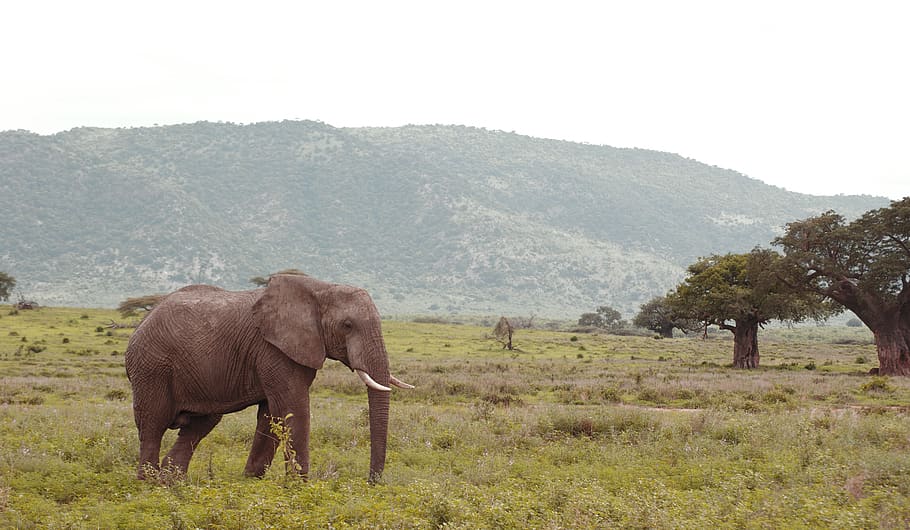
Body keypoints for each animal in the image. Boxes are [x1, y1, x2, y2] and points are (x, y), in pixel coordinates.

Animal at [124, 273, 412, 482]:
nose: (371, 482)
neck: (321, 288)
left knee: (198, 425)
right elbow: (293, 408)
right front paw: (299, 486)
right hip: (152, 367)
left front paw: (251, 480)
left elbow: (270, 414)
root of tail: (142, 321)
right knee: (153, 425)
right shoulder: (273, 348)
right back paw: (148, 482)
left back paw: (172, 481)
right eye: (348, 325)